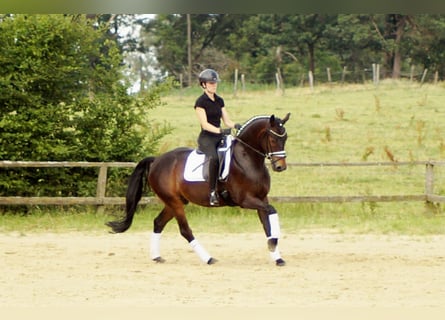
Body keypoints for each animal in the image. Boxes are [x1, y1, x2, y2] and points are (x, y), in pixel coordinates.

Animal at [106, 112, 290, 264]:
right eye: (273, 139)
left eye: (285, 138)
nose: (280, 167)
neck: (247, 159)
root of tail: (156, 160)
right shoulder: (245, 200)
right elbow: (272, 211)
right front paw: (274, 243)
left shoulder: (261, 198)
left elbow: (267, 225)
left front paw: (277, 255)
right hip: (174, 202)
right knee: (185, 230)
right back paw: (208, 258)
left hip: (175, 202)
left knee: (158, 223)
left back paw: (157, 257)